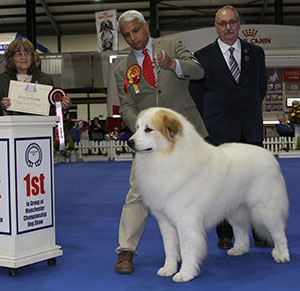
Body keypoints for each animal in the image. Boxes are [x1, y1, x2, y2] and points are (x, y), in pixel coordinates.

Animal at [127, 107, 290, 282]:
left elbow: (186, 248)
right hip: (234, 209)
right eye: (137, 128)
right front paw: (168, 269)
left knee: (278, 232)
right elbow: (169, 248)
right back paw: (239, 249)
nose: (129, 142)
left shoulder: (186, 221)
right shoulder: (165, 221)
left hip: (266, 210)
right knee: (241, 229)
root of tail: (270, 156)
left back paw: (282, 255)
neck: (170, 158)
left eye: (149, 129)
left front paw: (185, 274)